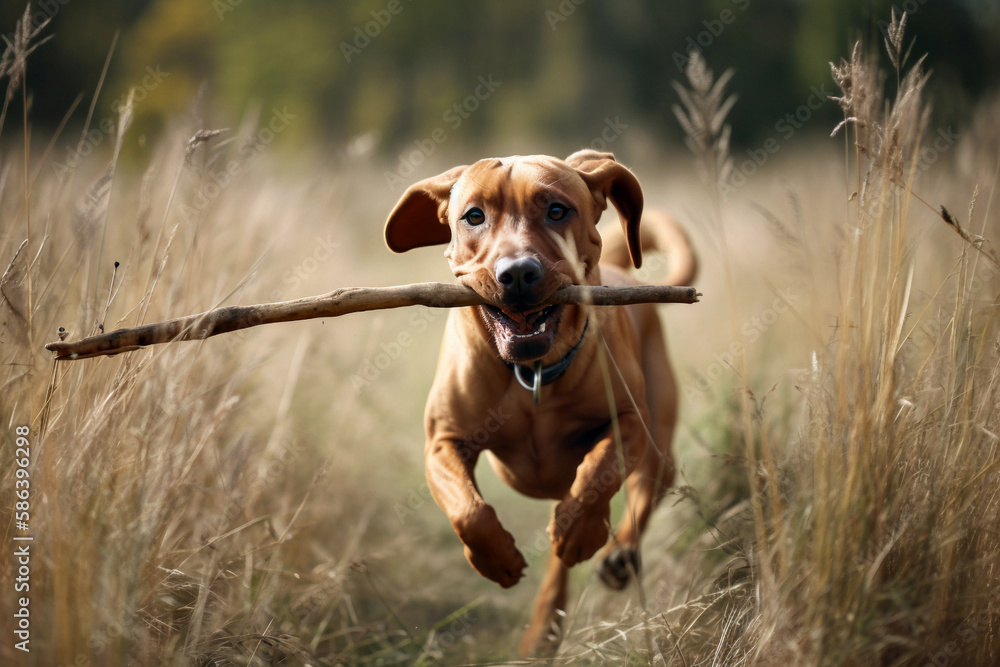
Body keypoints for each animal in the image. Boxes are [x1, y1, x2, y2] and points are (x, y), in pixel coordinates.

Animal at [382, 149, 696, 656]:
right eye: (474, 216)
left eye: (557, 210)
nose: (517, 273)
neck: (532, 374)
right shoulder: (443, 440)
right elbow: (468, 509)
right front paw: (496, 558)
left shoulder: (630, 420)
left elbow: (597, 475)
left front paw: (579, 530)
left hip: (658, 438)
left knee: (645, 489)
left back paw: (615, 555)